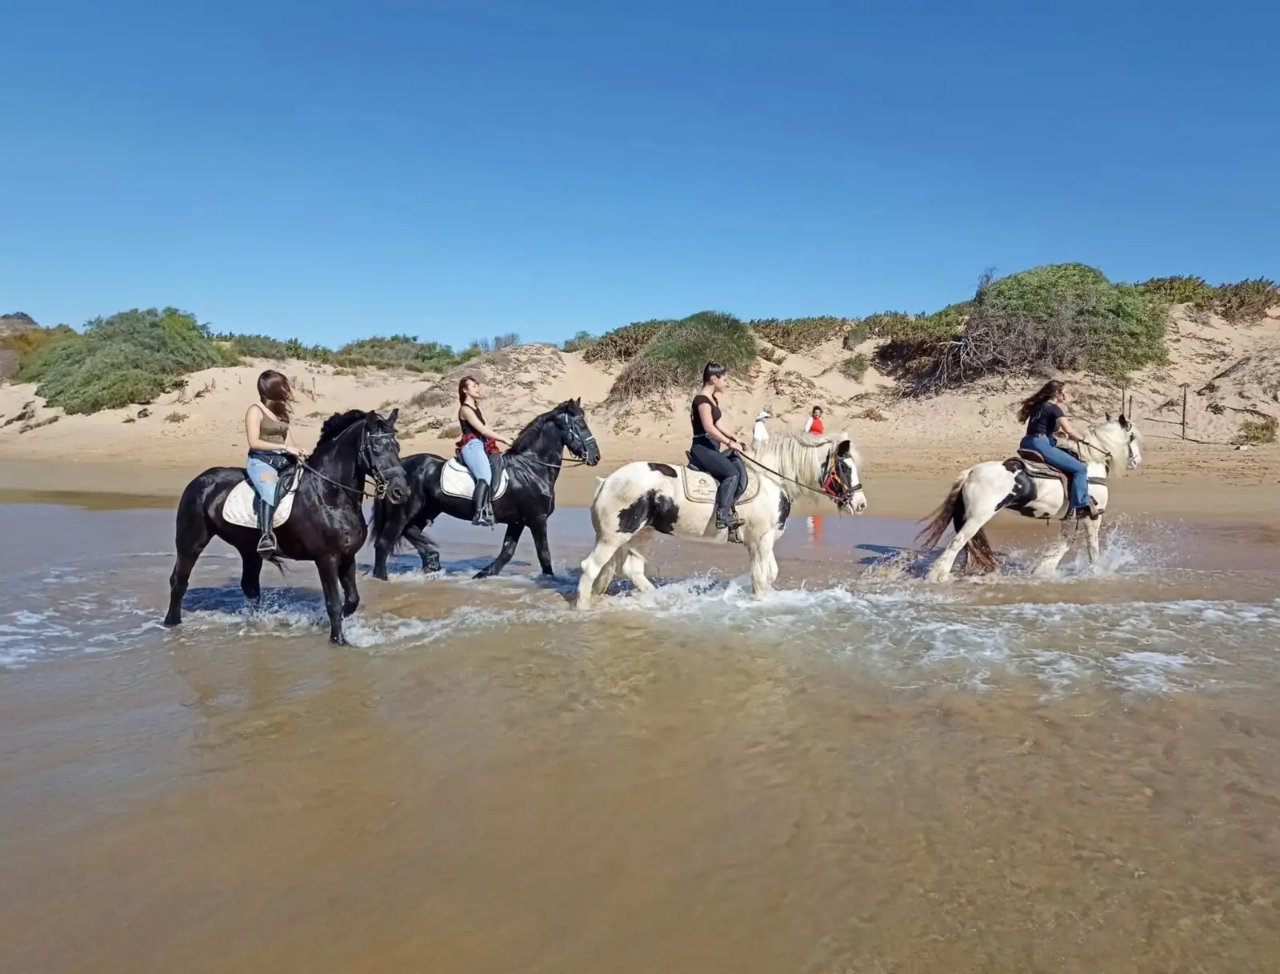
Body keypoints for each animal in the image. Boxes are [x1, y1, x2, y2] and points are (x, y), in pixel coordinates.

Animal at [163, 409, 410, 644]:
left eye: (397, 447)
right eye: (376, 449)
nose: (401, 492)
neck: (329, 495)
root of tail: (200, 480)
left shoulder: (347, 556)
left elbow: (351, 600)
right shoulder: (326, 559)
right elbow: (334, 603)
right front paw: (338, 640)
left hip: (249, 550)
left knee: (250, 586)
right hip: (191, 542)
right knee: (179, 581)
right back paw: (171, 623)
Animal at [371, 399, 601, 581]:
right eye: (580, 425)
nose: (596, 456)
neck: (532, 468)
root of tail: (398, 467)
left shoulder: (518, 522)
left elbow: (507, 552)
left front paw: (483, 574)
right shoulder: (537, 519)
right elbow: (543, 554)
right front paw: (550, 580)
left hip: (428, 509)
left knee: (411, 531)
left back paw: (431, 562)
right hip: (403, 512)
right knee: (384, 542)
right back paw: (382, 578)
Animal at [575, 431, 867, 609]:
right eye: (844, 467)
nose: (861, 504)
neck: (772, 479)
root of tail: (607, 482)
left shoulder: (761, 543)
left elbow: (767, 574)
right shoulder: (762, 541)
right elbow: (762, 577)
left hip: (640, 534)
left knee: (632, 570)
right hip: (614, 537)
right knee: (591, 567)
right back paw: (583, 609)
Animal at [916, 415, 1143, 581]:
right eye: (1132, 436)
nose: (1137, 461)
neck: (1090, 463)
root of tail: (971, 471)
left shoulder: (1069, 518)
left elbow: (1065, 544)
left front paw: (1044, 570)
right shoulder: (1093, 516)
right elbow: (1092, 548)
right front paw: (1098, 573)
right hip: (977, 518)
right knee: (957, 543)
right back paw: (939, 576)